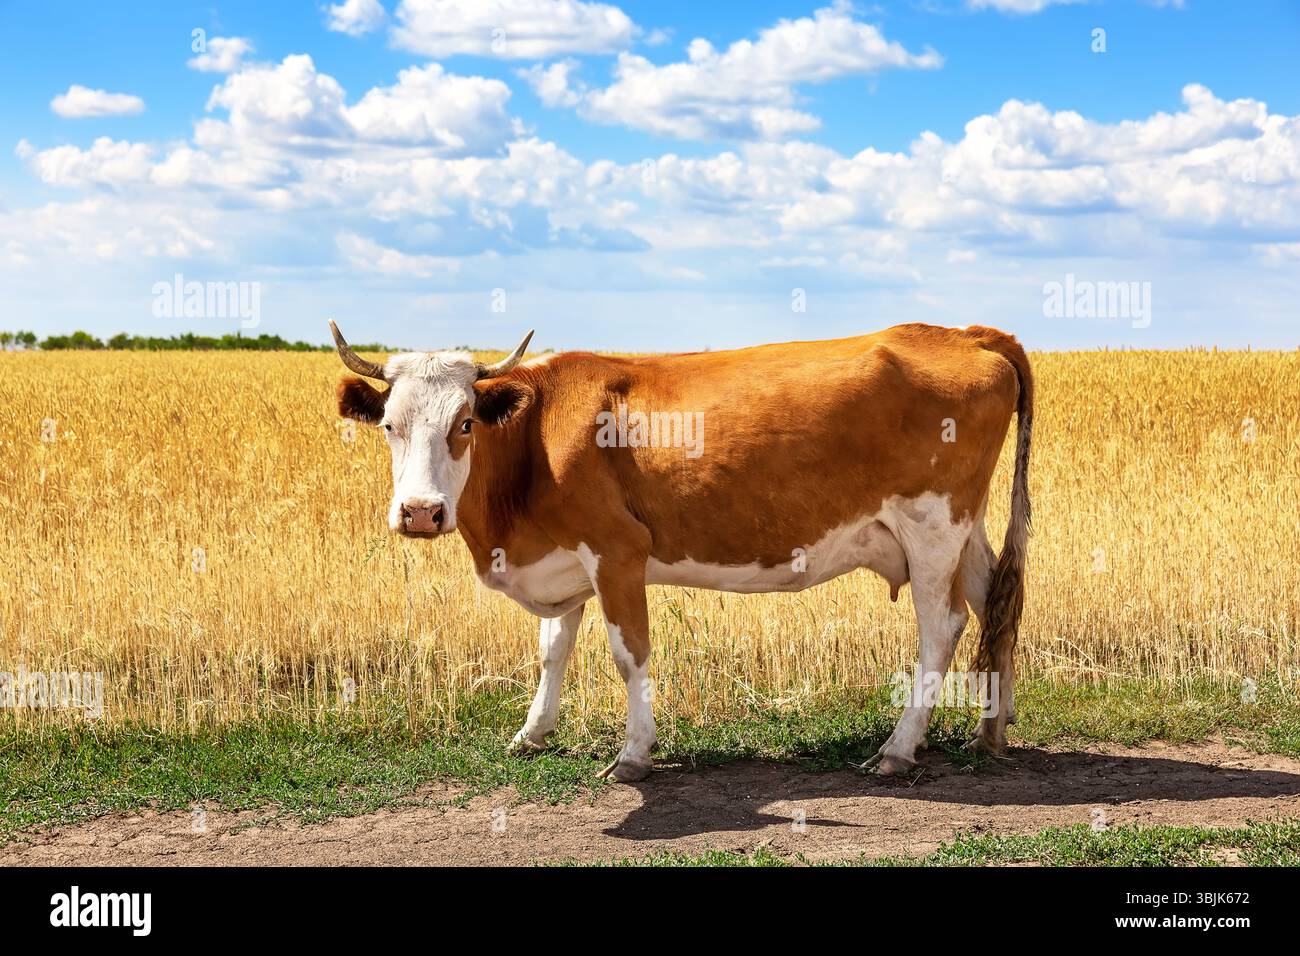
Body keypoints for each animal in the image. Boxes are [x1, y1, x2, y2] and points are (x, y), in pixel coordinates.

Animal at [330, 321, 1033, 782]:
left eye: (465, 423)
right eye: (389, 424)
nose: (421, 512)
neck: (537, 436)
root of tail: (966, 332)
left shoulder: (616, 551)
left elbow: (628, 653)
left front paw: (633, 754)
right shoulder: (562, 559)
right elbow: (553, 649)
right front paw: (532, 733)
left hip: (932, 526)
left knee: (942, 625)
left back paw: (898, 749)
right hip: (963, 528)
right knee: (995, 602)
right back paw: (989, 732)